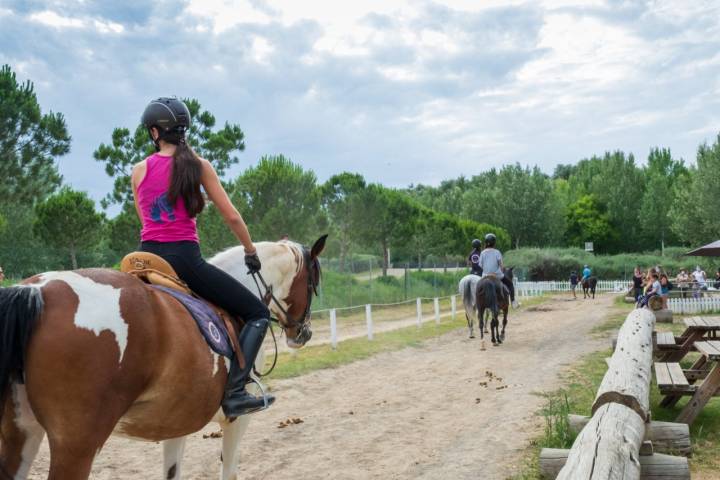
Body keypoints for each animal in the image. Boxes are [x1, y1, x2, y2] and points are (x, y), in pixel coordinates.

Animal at [0, 237, 326, 480]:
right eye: (312, 284)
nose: (304, 333)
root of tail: (35, 290)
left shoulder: (176, 422)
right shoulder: (237, 420)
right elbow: (229, 471)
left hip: (20, 434)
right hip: (76, 445)